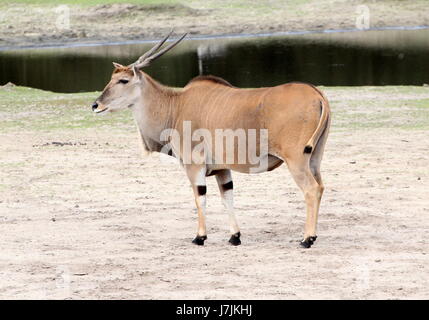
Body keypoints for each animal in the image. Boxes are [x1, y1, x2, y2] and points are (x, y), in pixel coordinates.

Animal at [92, 31, 330, 248]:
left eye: (123, 80)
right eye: (111, 79)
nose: (96, 105)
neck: (175, 105)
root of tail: (316, 93)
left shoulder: (194, 166)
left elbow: (200, 198)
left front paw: (200, 237)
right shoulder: (222, 170)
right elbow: (227, 198)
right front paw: (235, 236)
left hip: (296, 161)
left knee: (311, 189)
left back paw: (307, 239)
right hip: (314, 159)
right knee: (320, 187)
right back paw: (313, 235)